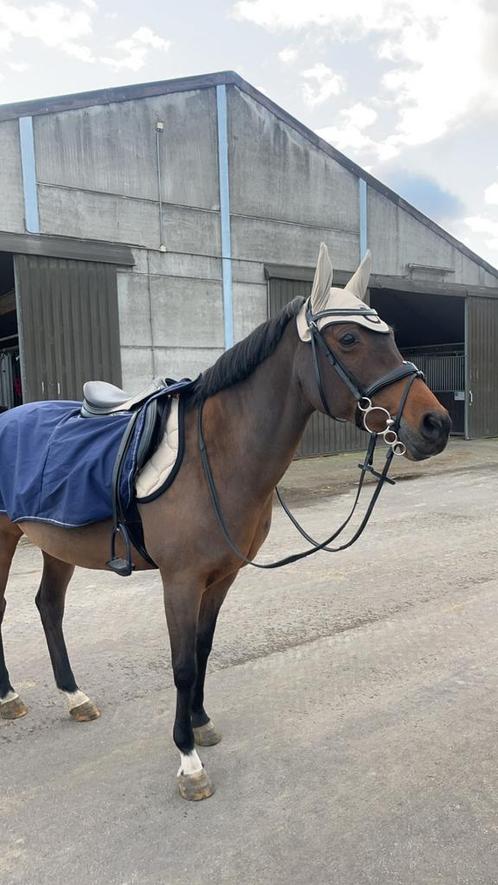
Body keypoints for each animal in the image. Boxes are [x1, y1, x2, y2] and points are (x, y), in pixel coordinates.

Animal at [0, 245, 452, 796]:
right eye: (349, 339)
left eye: (389, 335)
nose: (436, 424)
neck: (214, 456)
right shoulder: (181, 580)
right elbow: (181, 665)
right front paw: (188, 759)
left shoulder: (221, 577)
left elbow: (204, 649)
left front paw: (200, 723)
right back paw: (10, 698)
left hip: (54, 544)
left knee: (48, 606)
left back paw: (74, 697)